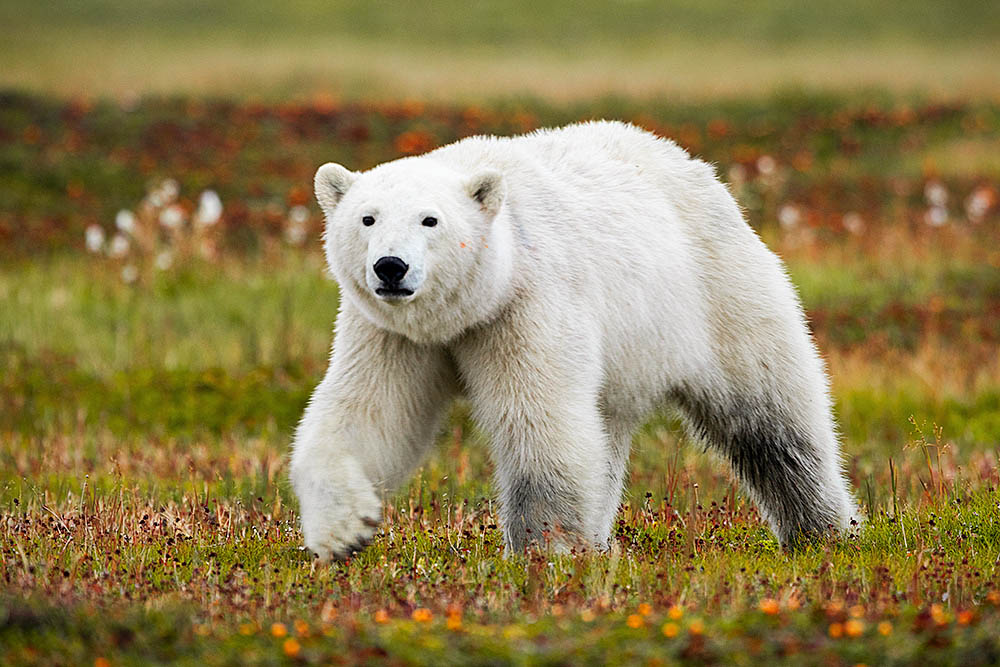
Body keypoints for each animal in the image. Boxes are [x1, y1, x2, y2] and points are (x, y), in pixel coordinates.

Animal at [292, 121, 860, 564]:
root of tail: (694, 165)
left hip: (718, 293)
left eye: (430, 219)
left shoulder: (528, 303)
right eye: (367, 218)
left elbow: (541, 419)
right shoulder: (390, 332)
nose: (391, 267)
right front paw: (342, 531)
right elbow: (369, 412)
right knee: (606, 433)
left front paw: (548, 548)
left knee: (773, 416)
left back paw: (824, 530)